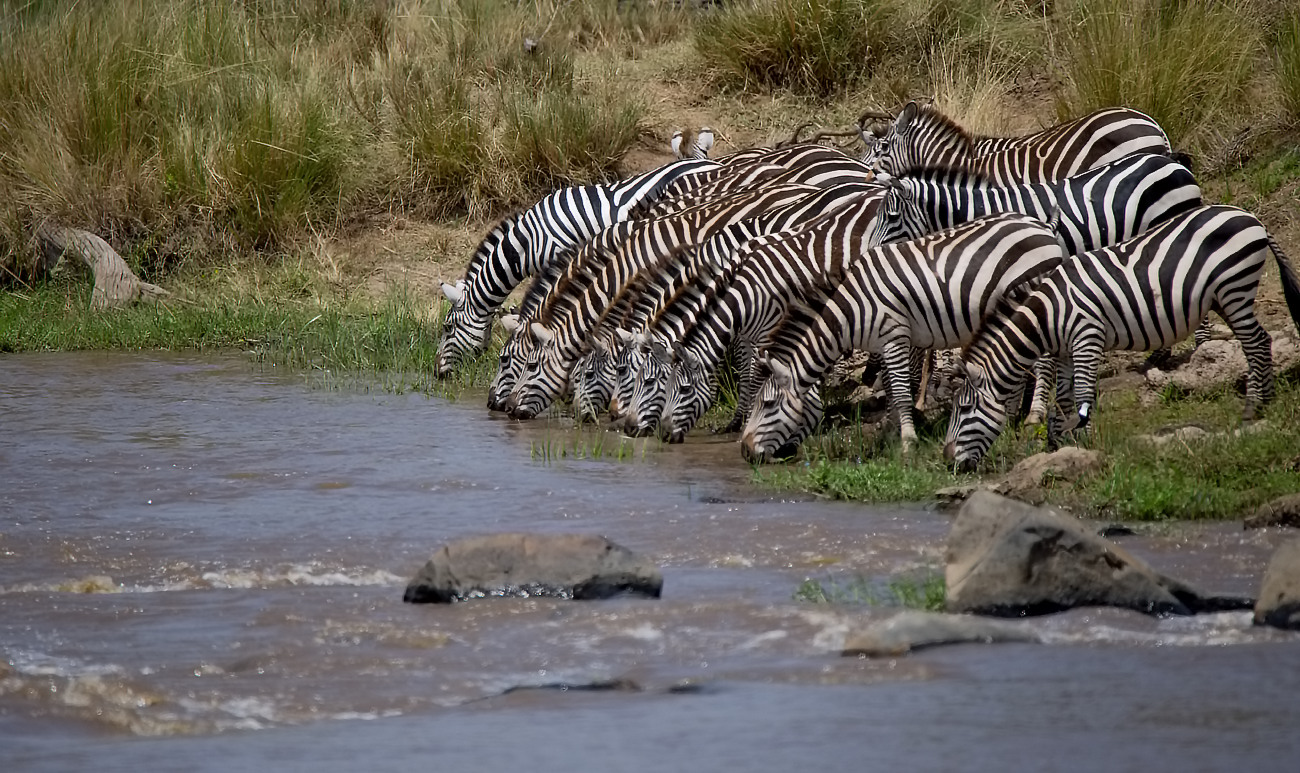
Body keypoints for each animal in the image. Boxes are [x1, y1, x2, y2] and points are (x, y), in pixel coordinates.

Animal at [738, 211, 1071, 462]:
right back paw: (1010, 416)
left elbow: (899, 390)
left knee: (1043, 363)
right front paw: (892, 429)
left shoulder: (894, 335)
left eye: (768, 404)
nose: (745, 451)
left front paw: (908, 441)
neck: (851, 310)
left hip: (1033, 303)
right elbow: (889, 386)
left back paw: (1033, 417)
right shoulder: (882, 343)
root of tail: (1043, 225)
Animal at [941, 203, 1300, 472]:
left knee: (1256, 342)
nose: (947, 461)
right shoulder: (1066, 350)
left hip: (1233, 288)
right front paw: (1062, 442)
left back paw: (1254, 407)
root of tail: (1249, 216)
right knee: (1259, 341)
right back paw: (1263, 401)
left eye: (965, 409)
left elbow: (1083, 393)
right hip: (1224, 296)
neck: (1048, 315)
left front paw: (1084, 438)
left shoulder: (1087, 335)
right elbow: (1065, 396)